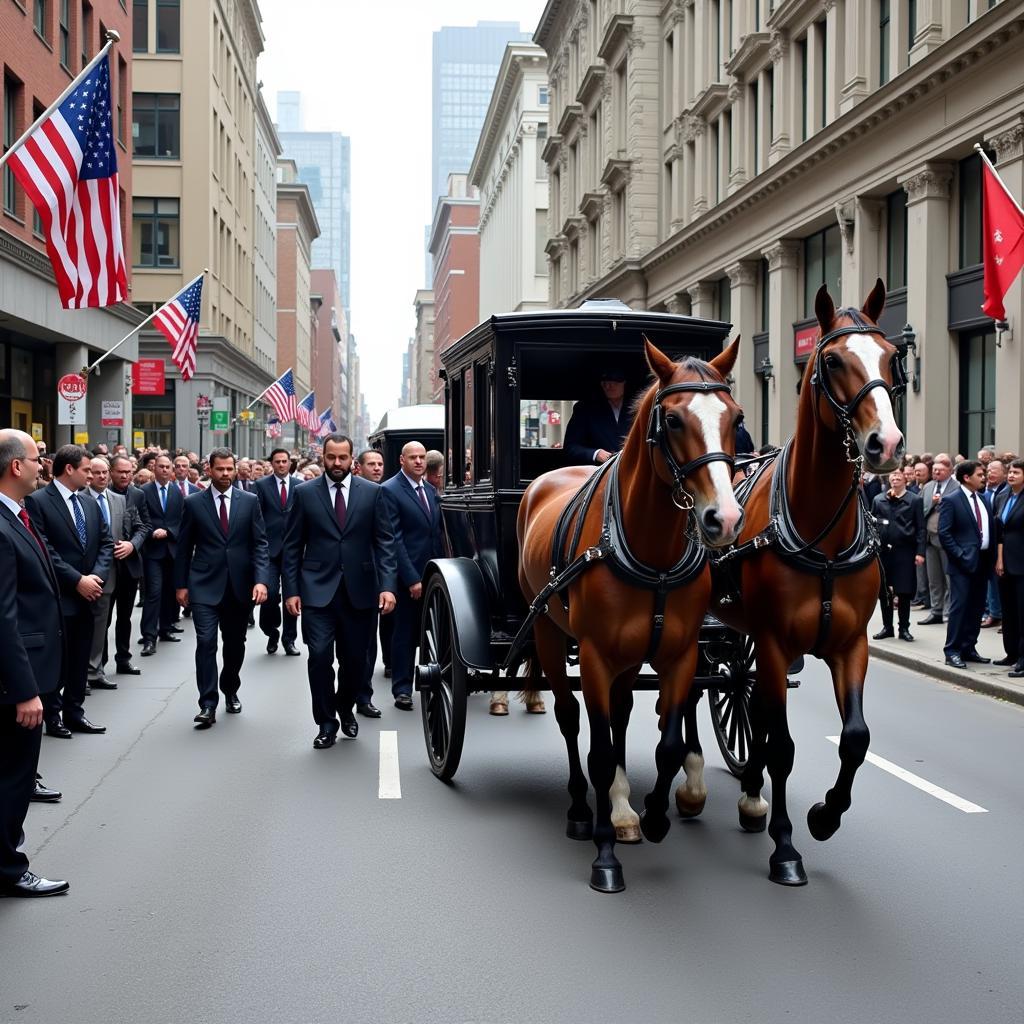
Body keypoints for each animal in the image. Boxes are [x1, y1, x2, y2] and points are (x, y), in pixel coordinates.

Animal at [520, 335, 745, 888]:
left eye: (735, 417)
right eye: (674, 420)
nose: (725, 519)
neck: (654, 551)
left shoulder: (680, 655)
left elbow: (666, 742)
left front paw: (657, 814)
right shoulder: (595, 656)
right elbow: (599, 751)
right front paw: (604, 854)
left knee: (620, 714)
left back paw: (623, 810)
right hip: (550, 635)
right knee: (569, 717)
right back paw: (583, 810)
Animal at [700, 276, 909, 884]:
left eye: (891, 355)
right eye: (834, 360)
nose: (886, 445)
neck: (825, 535)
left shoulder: (850, 644)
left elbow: (855, 738)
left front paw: (824, 815)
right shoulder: (774, 643)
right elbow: (785, 746)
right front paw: (787, 846)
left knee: (741, 694)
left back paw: (749, 791)